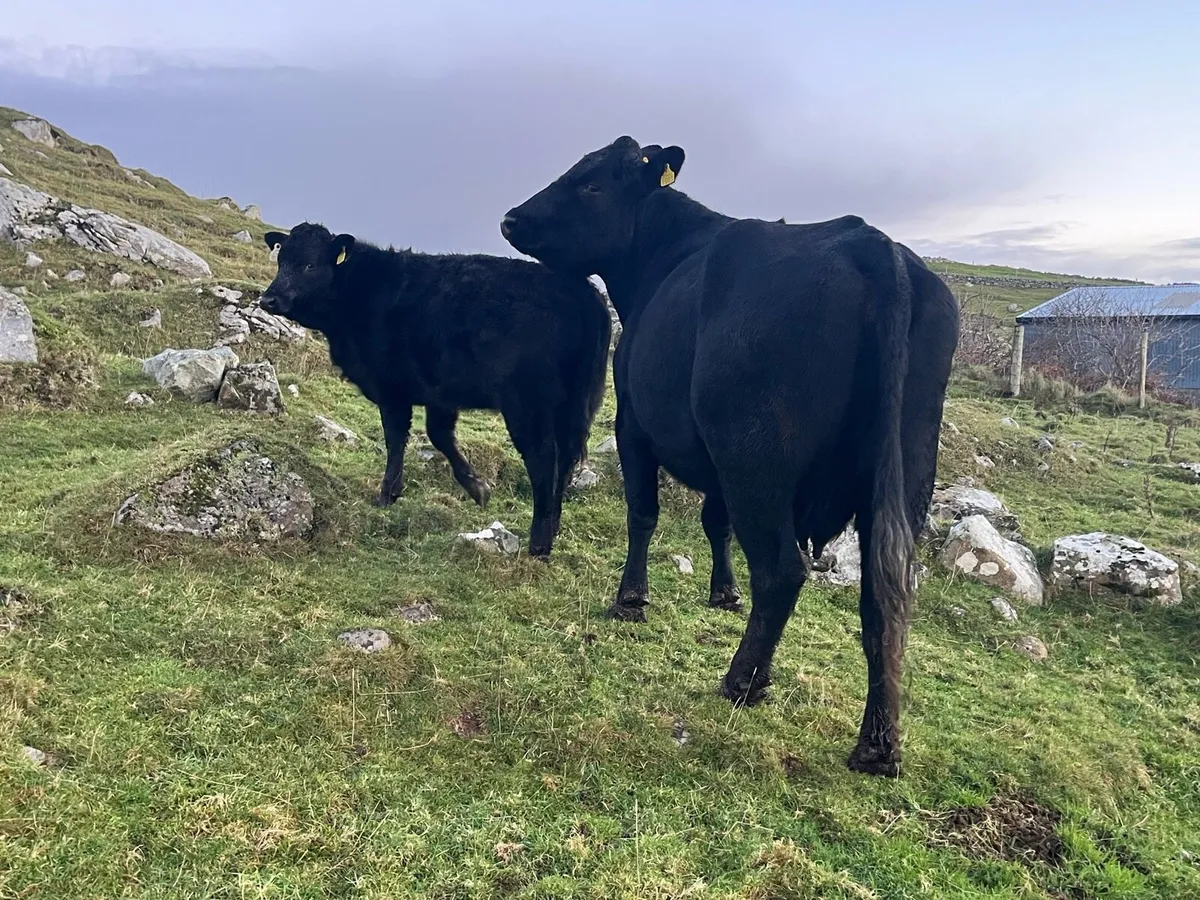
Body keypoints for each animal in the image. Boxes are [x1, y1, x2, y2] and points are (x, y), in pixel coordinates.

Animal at [259, 222, 611, 560]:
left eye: (309, 264)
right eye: (280, 259)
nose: (267, 300)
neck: (362, 292)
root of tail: (584, 295)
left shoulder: (393, 390)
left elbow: (396, 439)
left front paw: (387, 493)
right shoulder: (439, 393)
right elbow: (439, 435)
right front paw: (477, 487)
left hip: (528, 405)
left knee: (543, 460)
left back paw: (539, 543)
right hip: (571, 407)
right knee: (565, 461)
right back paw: (553, 526)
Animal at [500, 137, 959, 776]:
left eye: (590, 182)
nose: (511, 219)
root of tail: (871, 243)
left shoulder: (634, 424)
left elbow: (643, 513)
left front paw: (631, 599)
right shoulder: (716, 466)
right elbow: (713, 523)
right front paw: (723, 592)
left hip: (755, 456)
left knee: (783, 569)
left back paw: (744, 681)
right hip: (903, 472)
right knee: (883, 595)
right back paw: (877, 745)